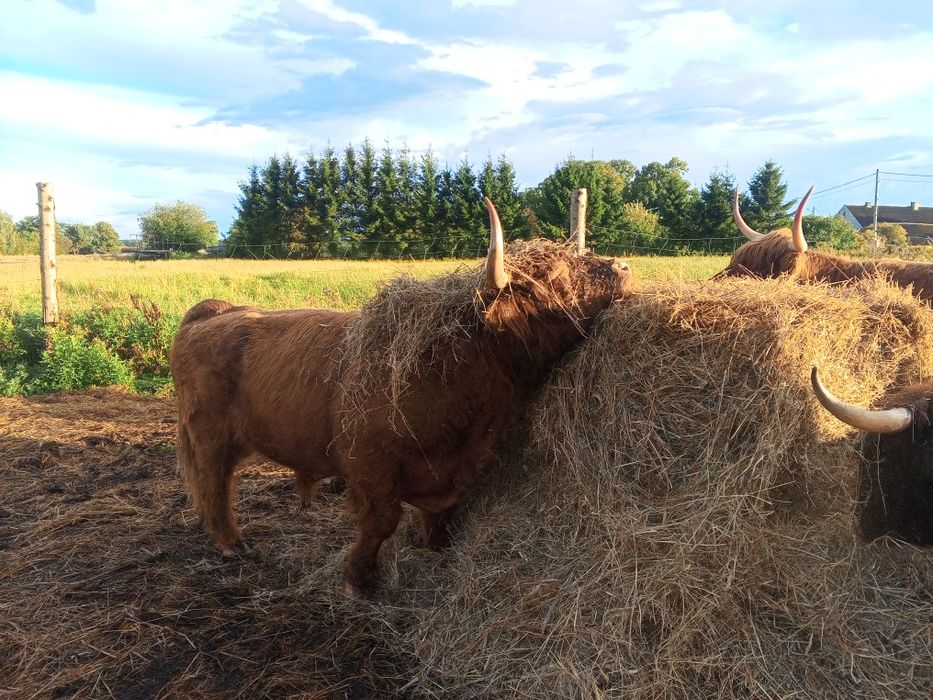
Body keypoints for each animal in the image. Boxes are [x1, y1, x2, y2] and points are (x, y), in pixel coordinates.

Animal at [170, 200, 633, 597]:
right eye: (554, 279)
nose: (623, 266)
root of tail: (212, 312)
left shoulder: (453, 472)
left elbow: (442, 513)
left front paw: (438, 549)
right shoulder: (372, 467)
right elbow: (380, 523)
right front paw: (358, 581)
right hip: (210, 437)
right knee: (215, 484)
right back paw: (232, 542)